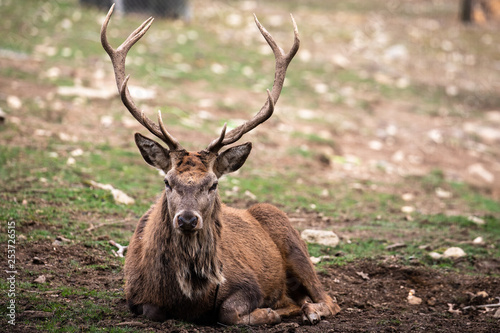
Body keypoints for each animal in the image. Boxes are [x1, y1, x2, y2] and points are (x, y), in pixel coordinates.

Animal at [99, 2, 342, 324]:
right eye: (167, 181)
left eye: (213, 184)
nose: (187, 219)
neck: (189, 296)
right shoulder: (135, 296)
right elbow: (154, 310)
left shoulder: (248, 283)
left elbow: (227, 311)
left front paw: (270, 312)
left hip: (292, 240)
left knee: (330, 300)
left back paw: (308, 311)